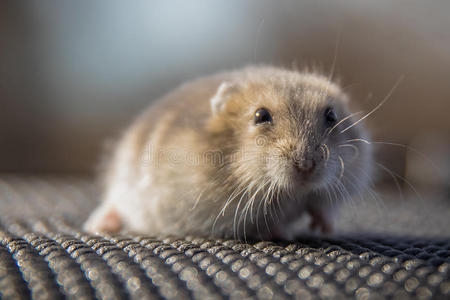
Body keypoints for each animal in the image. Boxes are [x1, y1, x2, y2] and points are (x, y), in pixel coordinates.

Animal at [83, 66, 372, 241]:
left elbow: (323, 205)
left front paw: (324, 228)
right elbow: (261, 222)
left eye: (331, 116)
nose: (306, 166)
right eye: (260, 115)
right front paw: (282, 233)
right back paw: (98, 225)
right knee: (113, 202)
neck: (289, 194)